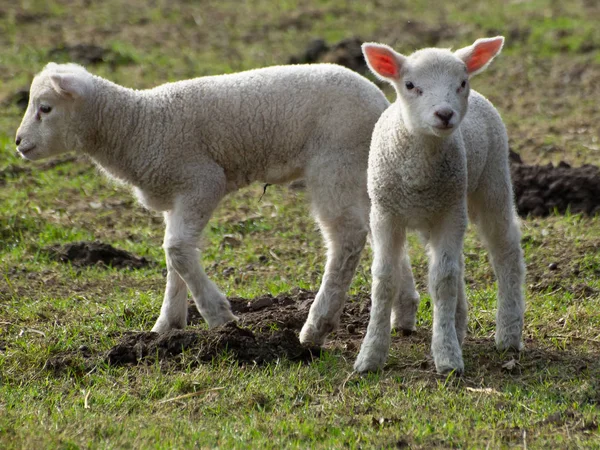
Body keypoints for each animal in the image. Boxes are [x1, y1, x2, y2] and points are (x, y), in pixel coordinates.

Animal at [16, 62, 390, 338]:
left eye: (45, 108)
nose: (18, 143)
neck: (136, 126)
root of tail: (381, 103)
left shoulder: (201, 181)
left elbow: (177, 250)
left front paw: (219, 317)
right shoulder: (174, 198)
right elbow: (174, 257)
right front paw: (166, 326)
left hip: (334, 165)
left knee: (346, 238)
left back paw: (316, 327)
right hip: (361, 172)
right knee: (379, 234)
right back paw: (397, 314)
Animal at [354, 37, 528, 374]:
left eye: (461, 83)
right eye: (410, 85)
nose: (445, 114)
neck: (418, 172)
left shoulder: (449, 213)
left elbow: (442, 280)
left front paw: (447, 356)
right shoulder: (385, 215)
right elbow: (385, 279)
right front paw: (370, 355)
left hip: (491, 182)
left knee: (505, 250)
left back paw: (508, 333)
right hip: (441, 207)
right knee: (457, 262)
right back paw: (459, 326)